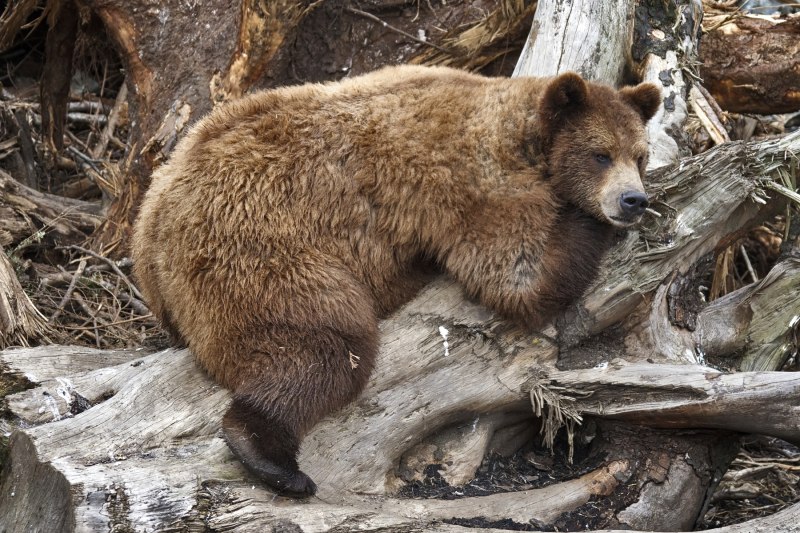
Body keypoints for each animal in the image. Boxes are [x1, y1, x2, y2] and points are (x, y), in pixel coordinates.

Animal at [131, 65, 660, 497]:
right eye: (600, 154)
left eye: (640, 155)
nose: (633, 200)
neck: (525, 139)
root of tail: (149, 227)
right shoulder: (475, 184)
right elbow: (518, 275)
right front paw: (586, 219)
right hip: (260, 246)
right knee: (326, 345)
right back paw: (273, 459)